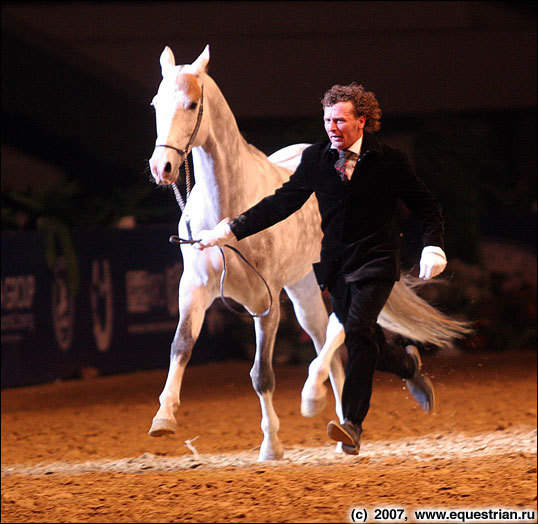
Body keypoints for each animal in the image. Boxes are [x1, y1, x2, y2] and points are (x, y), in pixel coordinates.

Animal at [147, 46, 468, 462]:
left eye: (191, 103)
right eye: (156, 104)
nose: (162, 167)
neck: (228, 207)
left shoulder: (265, 302)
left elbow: (261, 374)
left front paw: (271, 445)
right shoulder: (194, 289)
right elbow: (181, 347)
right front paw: (163, 419)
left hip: (325, 280)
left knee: (341, 330)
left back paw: (319, 401)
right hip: (301, 285)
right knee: (325, 334)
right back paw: (345, 419)